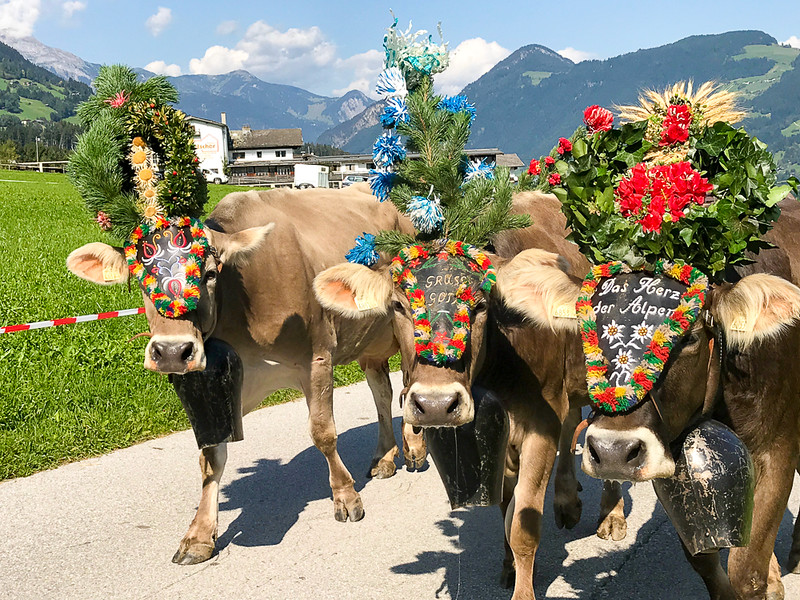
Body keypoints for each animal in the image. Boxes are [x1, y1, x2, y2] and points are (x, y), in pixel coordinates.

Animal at [65, 185, 422, 564]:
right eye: (139, 278)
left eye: (209, 274)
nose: (172, 352)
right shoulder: (217, 383)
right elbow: (210, 456)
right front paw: (199, 534)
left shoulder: (318, 357)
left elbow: (323, 433)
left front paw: (346, 496)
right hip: (370, 342)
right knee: (382, 392)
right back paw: (384, 456)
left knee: (411, 383)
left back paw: (414, 448)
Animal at [316, 193, 628, 600]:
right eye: (399, 306)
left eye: (480, 305)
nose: (435, 405)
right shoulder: (504, 435)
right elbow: (506, 511)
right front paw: (510, 566)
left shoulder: (539, 427)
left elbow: (523, 525)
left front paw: (523, 589)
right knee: (572, 422)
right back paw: (566, 499)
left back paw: (612, 516)